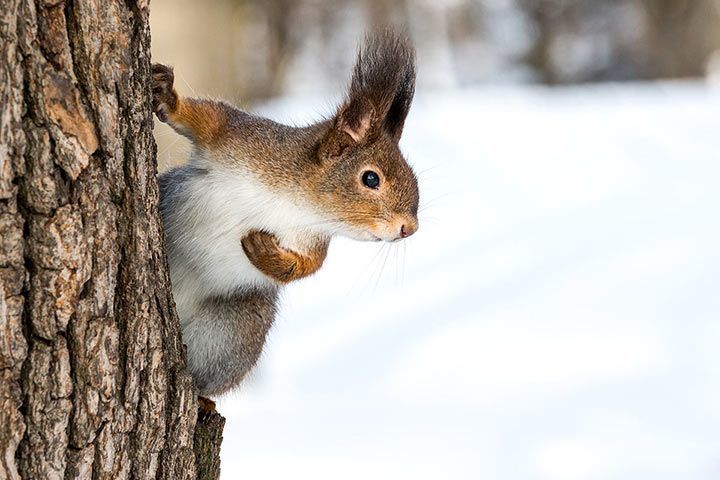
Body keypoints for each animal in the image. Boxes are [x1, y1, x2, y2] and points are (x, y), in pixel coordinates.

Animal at [153, 29, 422, 398]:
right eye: (371, 178)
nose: (410, 228)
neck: (298, 202)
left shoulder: (312, 240)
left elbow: (308, 267)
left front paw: (265, 252)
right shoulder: (243, 139)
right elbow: (207, 118)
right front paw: (168, 97)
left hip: (236, 330)